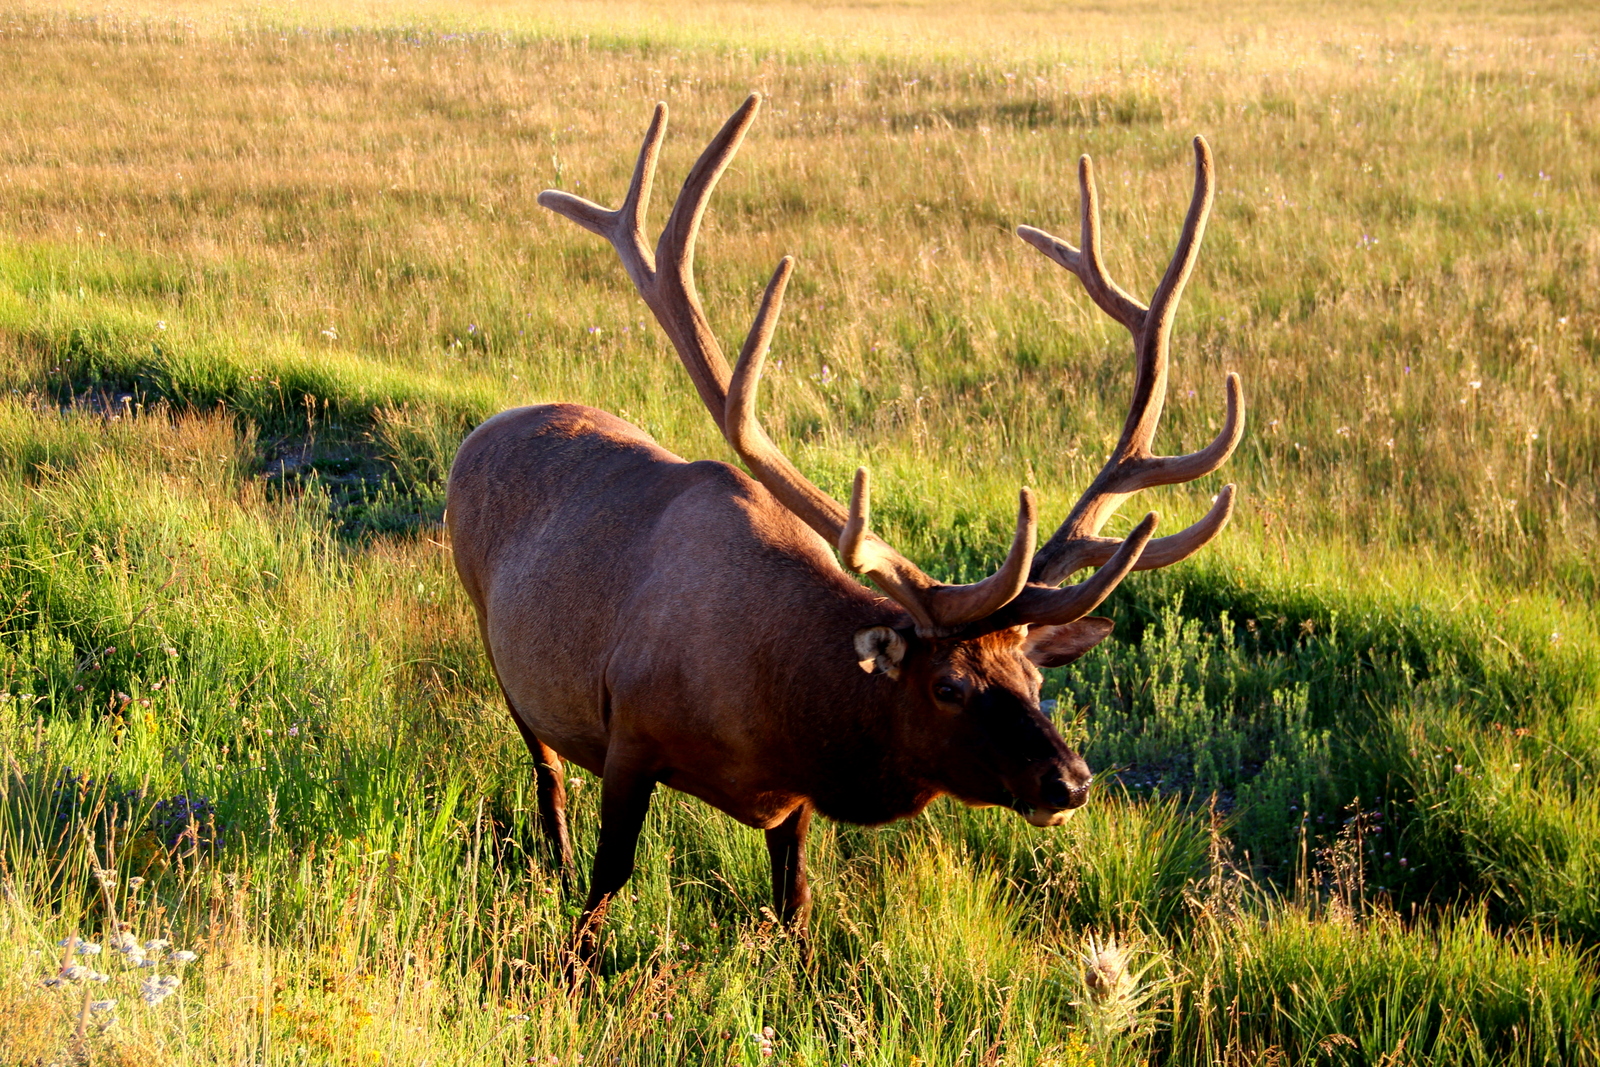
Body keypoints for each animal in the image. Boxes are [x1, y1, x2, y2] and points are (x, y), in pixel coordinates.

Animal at [445, 93, 1243, 967]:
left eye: (1036, 678)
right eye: (948, 685)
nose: (1069, 780)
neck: (777, 711)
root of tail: (480, 431)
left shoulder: (792, 799)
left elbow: (795, 903)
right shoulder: (630, 729)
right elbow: (607, 881)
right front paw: (569, 965)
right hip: (499, 645)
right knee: (547, 770)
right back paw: (551, 859)